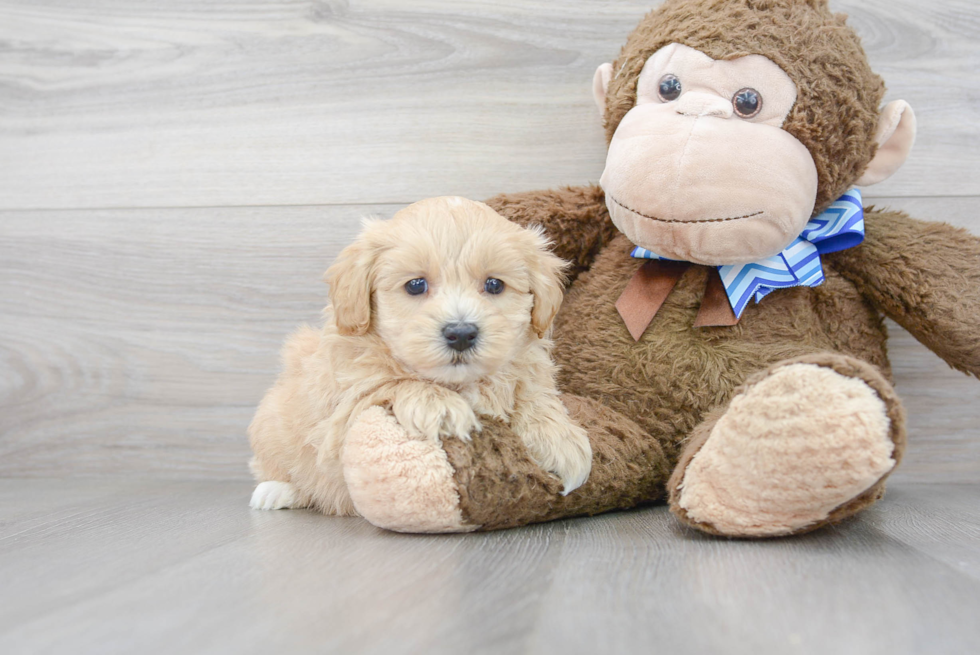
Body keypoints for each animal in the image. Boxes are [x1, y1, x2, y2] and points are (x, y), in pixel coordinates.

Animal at [249, 197, 592, 516]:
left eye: (494, 284)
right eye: (416, 285)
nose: (461, 333)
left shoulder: (529, 369)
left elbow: (534, 396)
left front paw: (558, 439)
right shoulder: (341, 412)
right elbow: (391, 383)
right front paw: (441, 406)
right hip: (270, 425)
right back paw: (275, 490)